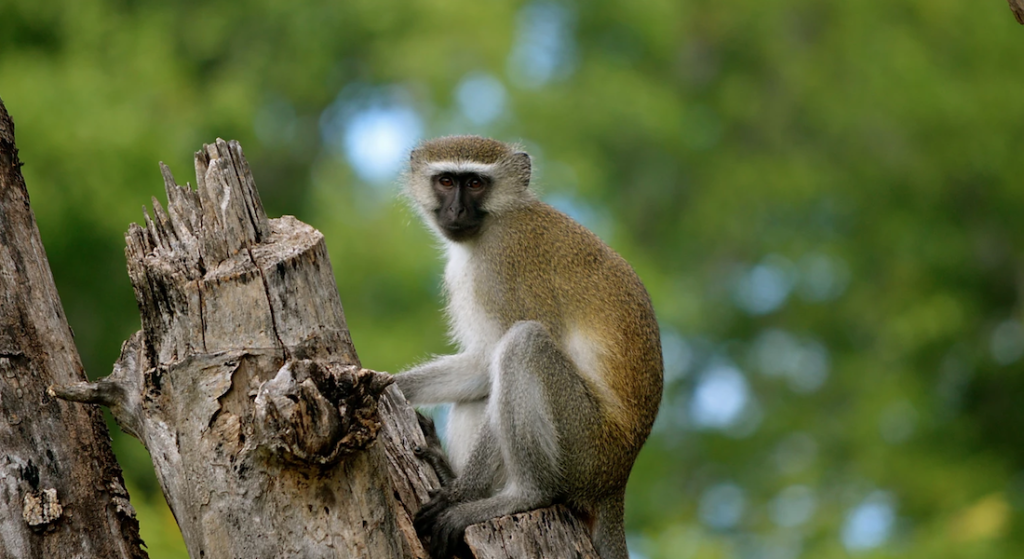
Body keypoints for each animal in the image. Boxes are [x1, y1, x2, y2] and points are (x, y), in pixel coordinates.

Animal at [394, 136, 663, 559]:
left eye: (475, 184)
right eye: (446, 181)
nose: (455, 209)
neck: (498, 220)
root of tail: (617, 478)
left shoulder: (503, 265)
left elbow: (508, 346)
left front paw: (461, 493)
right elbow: (482, 364)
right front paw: (386, 385)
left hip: (584, 444)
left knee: (524, 344)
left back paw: (520, 495)